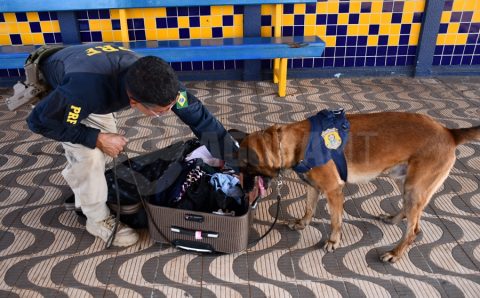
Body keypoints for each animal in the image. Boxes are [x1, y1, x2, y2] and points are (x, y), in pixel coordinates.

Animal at [240, 112, 480, 264]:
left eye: (243, 164)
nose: (242, 189)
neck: (293, 142)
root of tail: (449, 132)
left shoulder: (334, 191)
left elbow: (335, 220)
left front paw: (333, 241)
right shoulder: (313, 187)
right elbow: (309, 208)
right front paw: (303, 223)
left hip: (415, 188)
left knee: (414, 230)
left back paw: (395, 253)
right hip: (403, 181)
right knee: (409, 214)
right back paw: (393, 219)